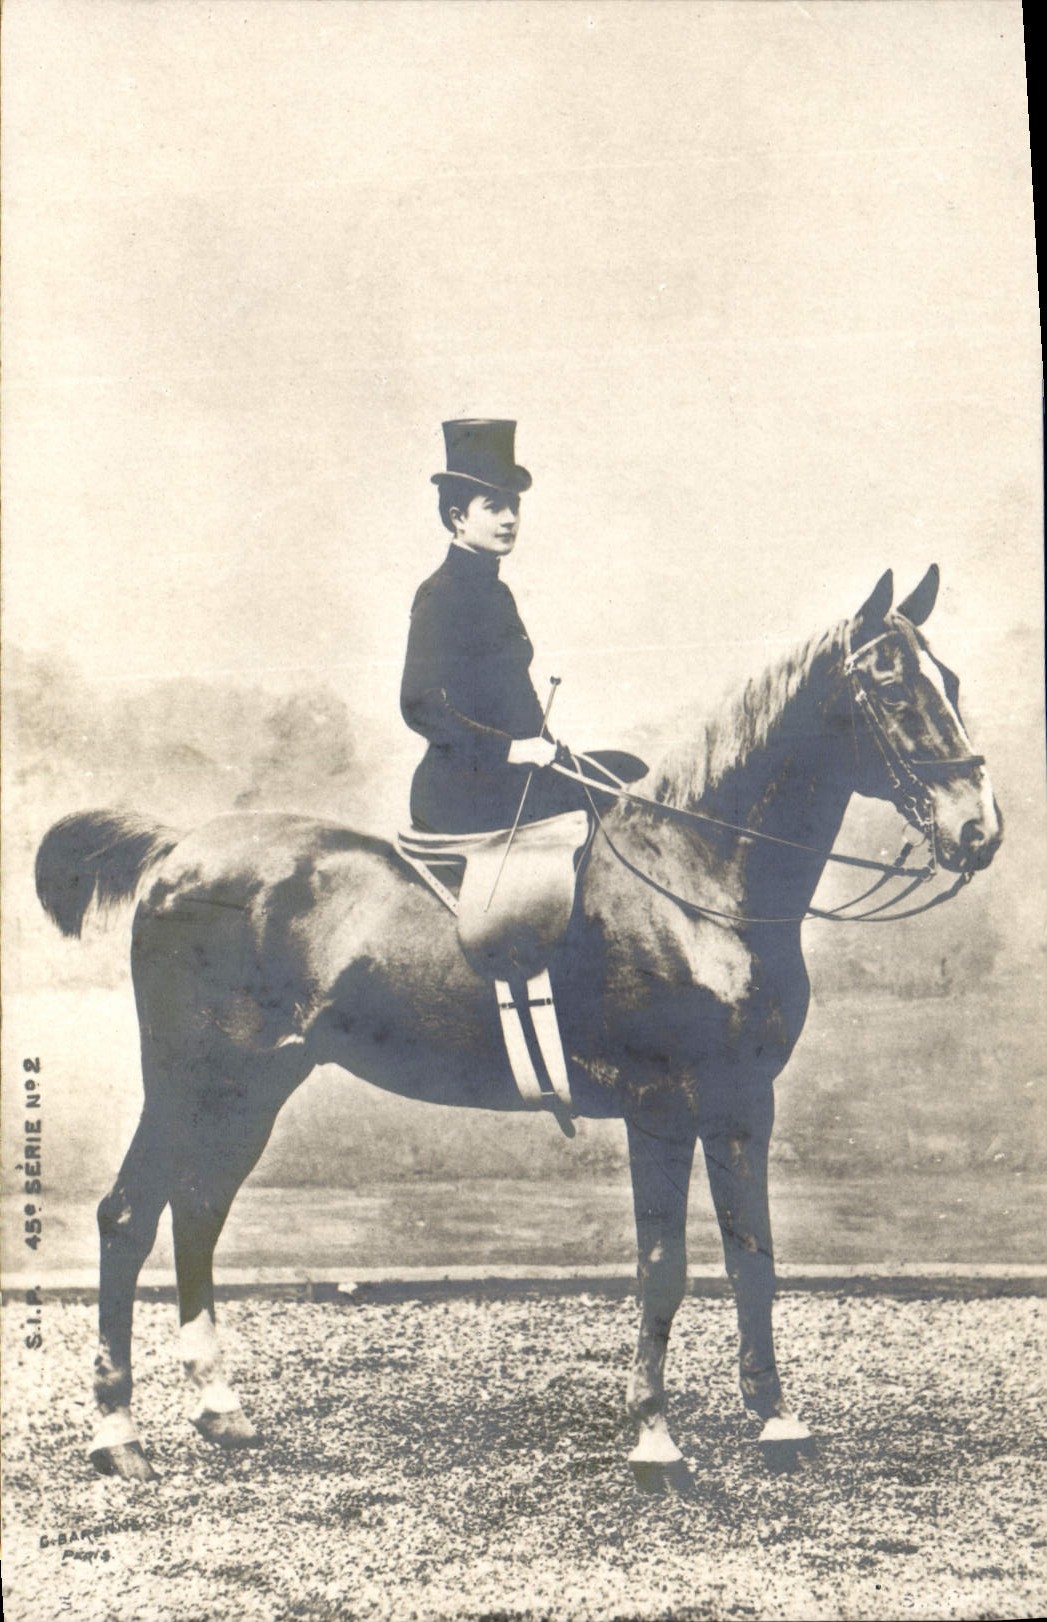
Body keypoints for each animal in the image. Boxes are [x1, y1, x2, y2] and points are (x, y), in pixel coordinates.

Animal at [34, 565, 1001, 1486]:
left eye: (951, 679)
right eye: (890, 689)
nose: (977, 832)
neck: (696, 879)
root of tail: (178, 850)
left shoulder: (742, 1103)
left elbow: (751, 1258)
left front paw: (775, 1423)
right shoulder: (660, 1108)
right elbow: (663, 1267)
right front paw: (655, 1443)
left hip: (254, 1086)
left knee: (196, 1210)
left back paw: (218, 1408)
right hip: (190, 1078)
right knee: (128, 1216)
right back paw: (117, 1436)